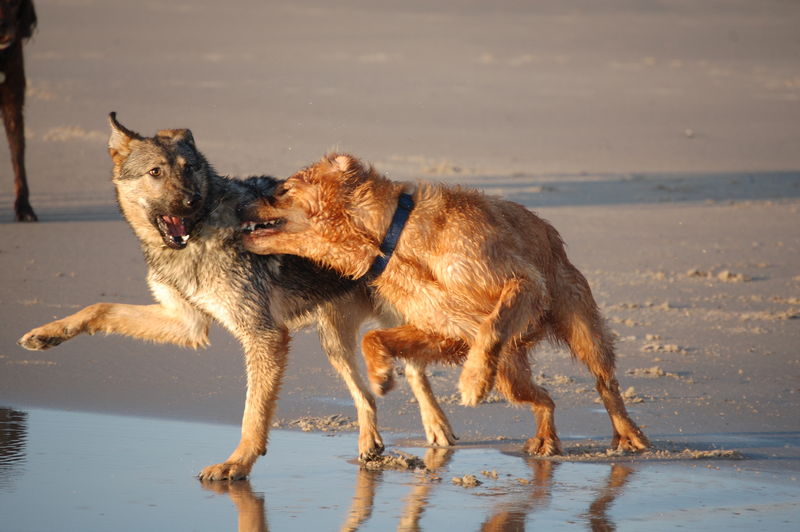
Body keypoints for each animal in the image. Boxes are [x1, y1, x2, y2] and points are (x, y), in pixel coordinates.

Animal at [239, 152, 648, 456]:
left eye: (284, 188)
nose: (241, 202)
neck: (392, 240)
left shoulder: (522, 282)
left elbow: (495, 323)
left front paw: (472, 380)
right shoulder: (444, 328)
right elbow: (376, 338)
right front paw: (381, 375)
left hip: (579, 323)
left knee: (605, 381)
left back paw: (628, 433)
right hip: (511, 374)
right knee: (544, 398)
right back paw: (545, 439)